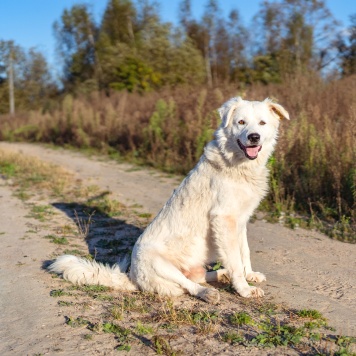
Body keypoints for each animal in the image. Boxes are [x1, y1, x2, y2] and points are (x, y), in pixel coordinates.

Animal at [49, 96, 290, 304]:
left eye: (262, 123)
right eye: (241, 122)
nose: (254, 137)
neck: (238, 165)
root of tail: (132, 277)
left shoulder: (240, 220)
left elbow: (244, 253)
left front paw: (250, 275)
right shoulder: (224, 219)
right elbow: (235, 261)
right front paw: (244, 289)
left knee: (198, 277)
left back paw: (220, 275)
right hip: (158, 262)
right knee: (187, 285)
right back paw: (208, 293)